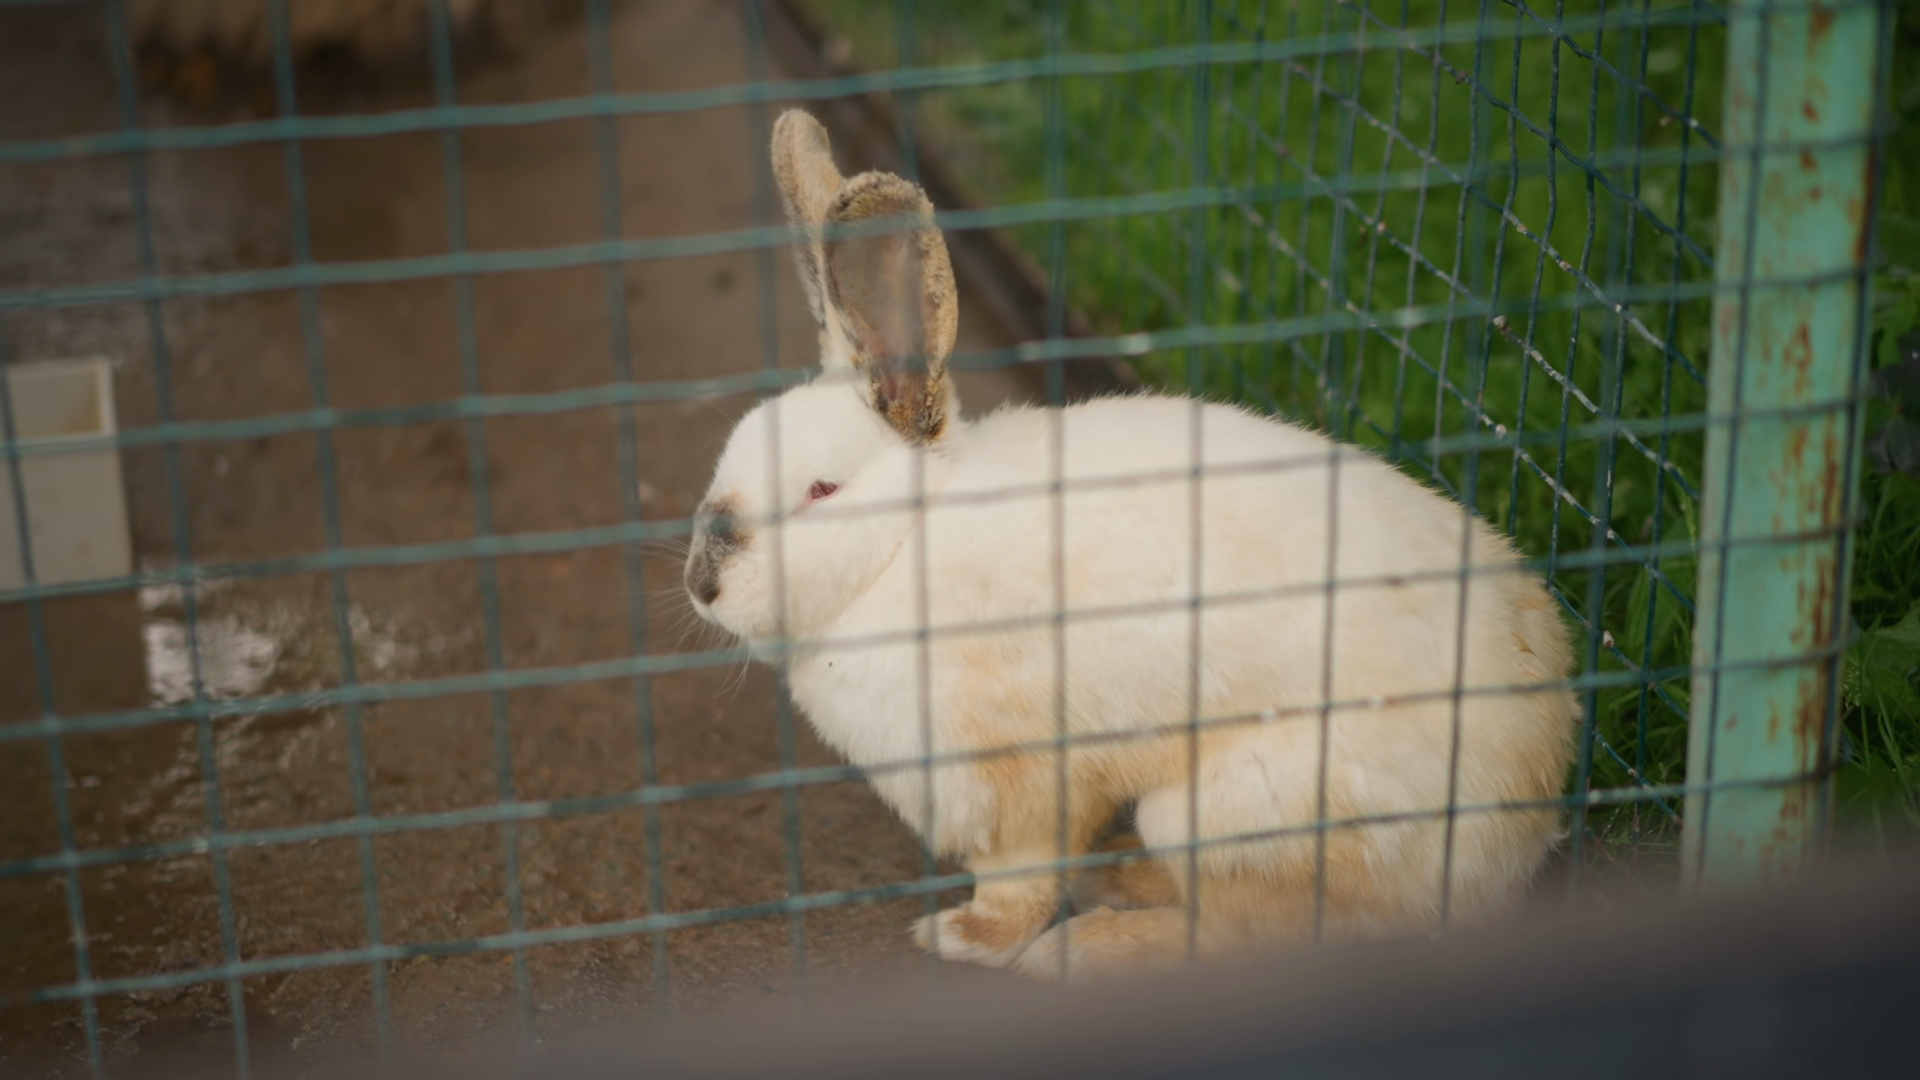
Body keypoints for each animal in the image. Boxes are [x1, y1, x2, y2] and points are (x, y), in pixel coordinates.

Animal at [682, 108, 1581, 982]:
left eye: (821, 491)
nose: (701, 586)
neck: (906, 547)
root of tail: (1526, 819)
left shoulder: (1021, 783)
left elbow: (1017, 886)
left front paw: (961, 937)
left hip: (1225, 812)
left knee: (1254, 935)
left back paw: (1087, 947)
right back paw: (1115, 875)